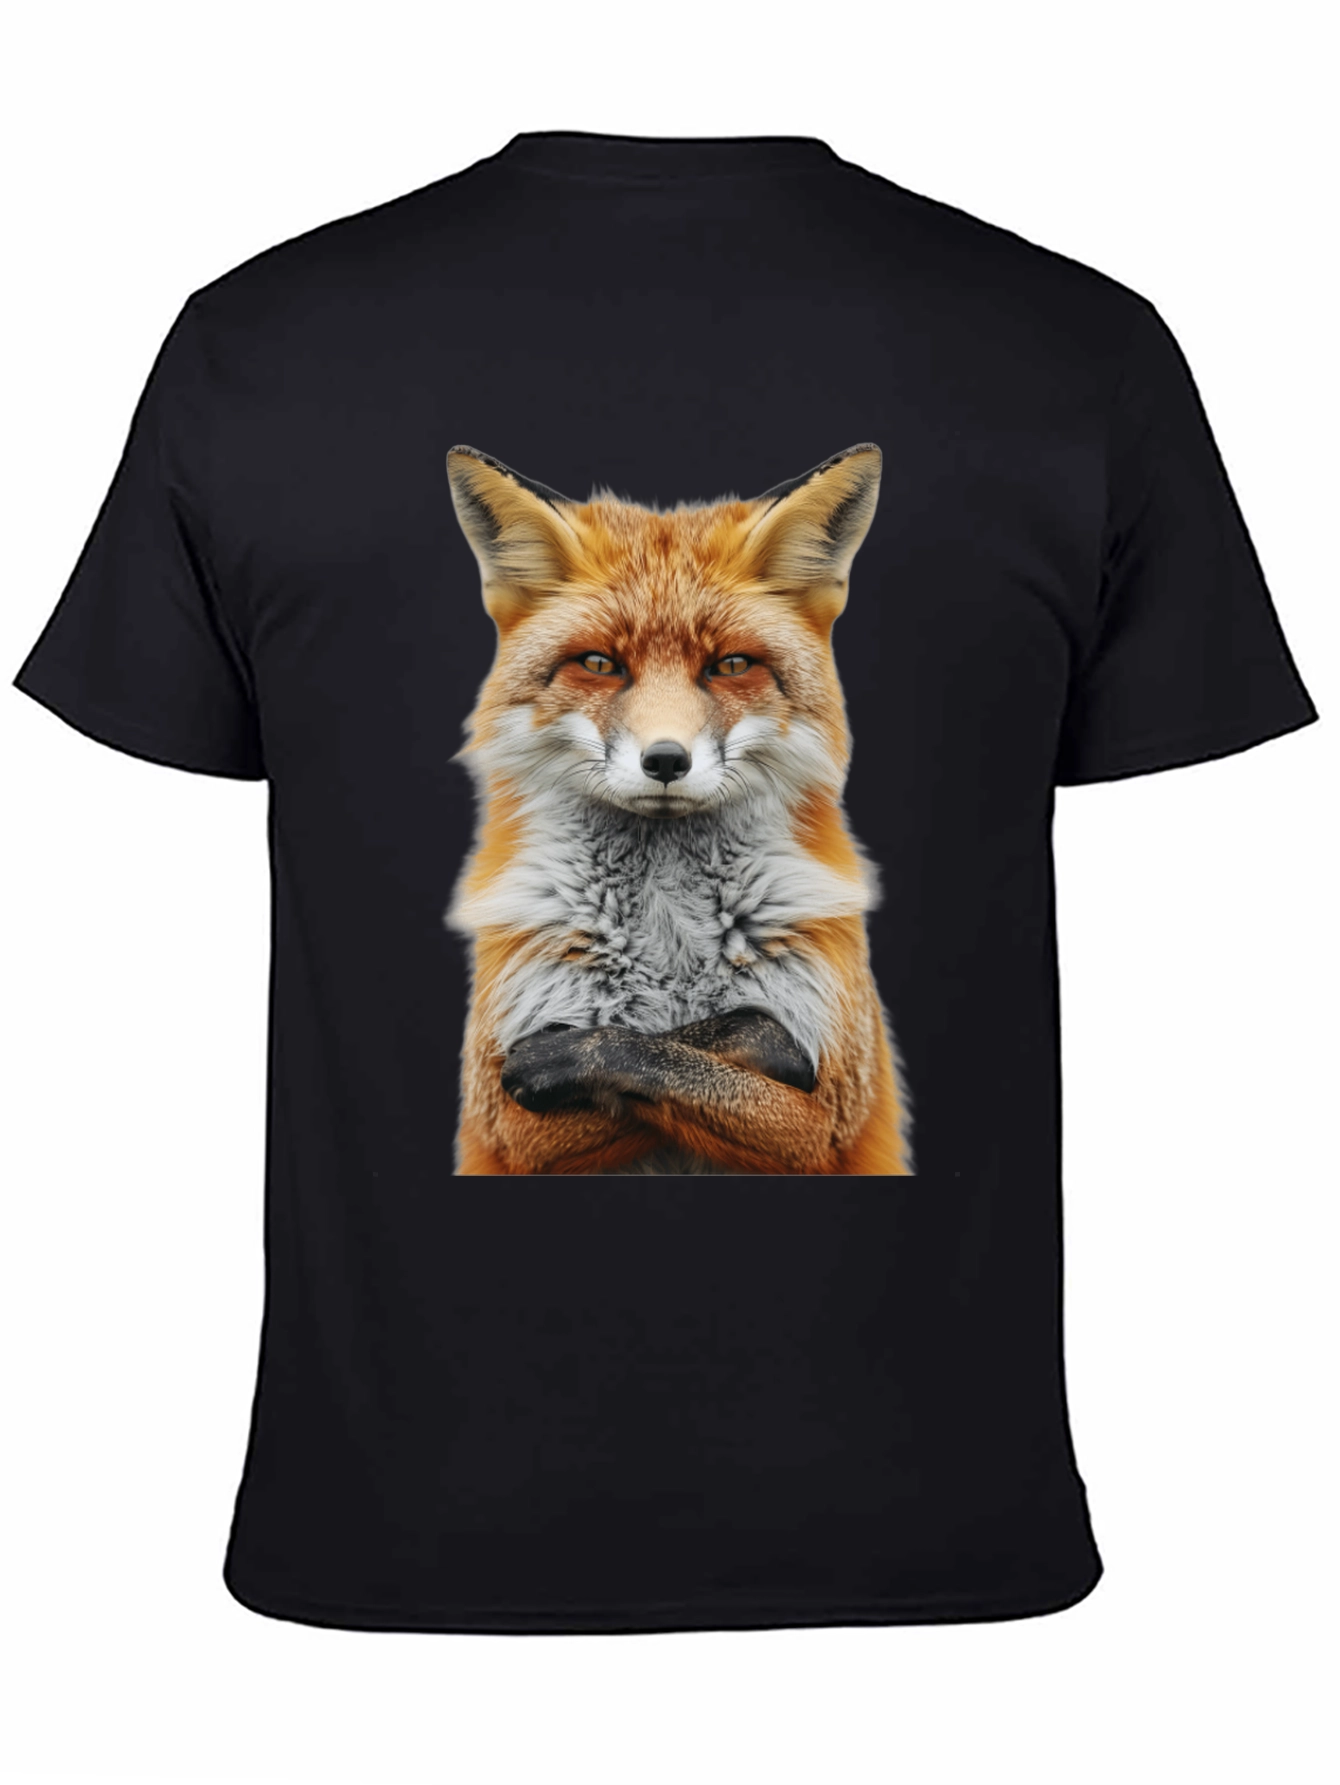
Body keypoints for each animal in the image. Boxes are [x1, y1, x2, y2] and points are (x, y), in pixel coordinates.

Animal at [445, 442, 910, 1176]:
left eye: (731, 665)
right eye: (600, 663)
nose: (665, 760)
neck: (668, 932)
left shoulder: (830, 1113)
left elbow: (687, 1051)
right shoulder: (508, 1124)